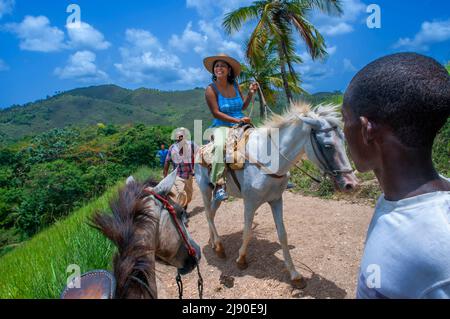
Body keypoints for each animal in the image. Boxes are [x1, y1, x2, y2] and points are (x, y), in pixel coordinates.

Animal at [195, 102, 356, 288]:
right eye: (328, 145)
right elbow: (247, 231)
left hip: (217, 195)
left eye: (344, 141)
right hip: (204, 189)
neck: (269, 161)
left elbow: (283, 235)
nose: (351, 184)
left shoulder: (276, 200)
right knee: (208, 214)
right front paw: (241, 259)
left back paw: (214, 242)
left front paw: (295, 275)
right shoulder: (250, 203)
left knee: (212, 214)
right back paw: (220, 247)